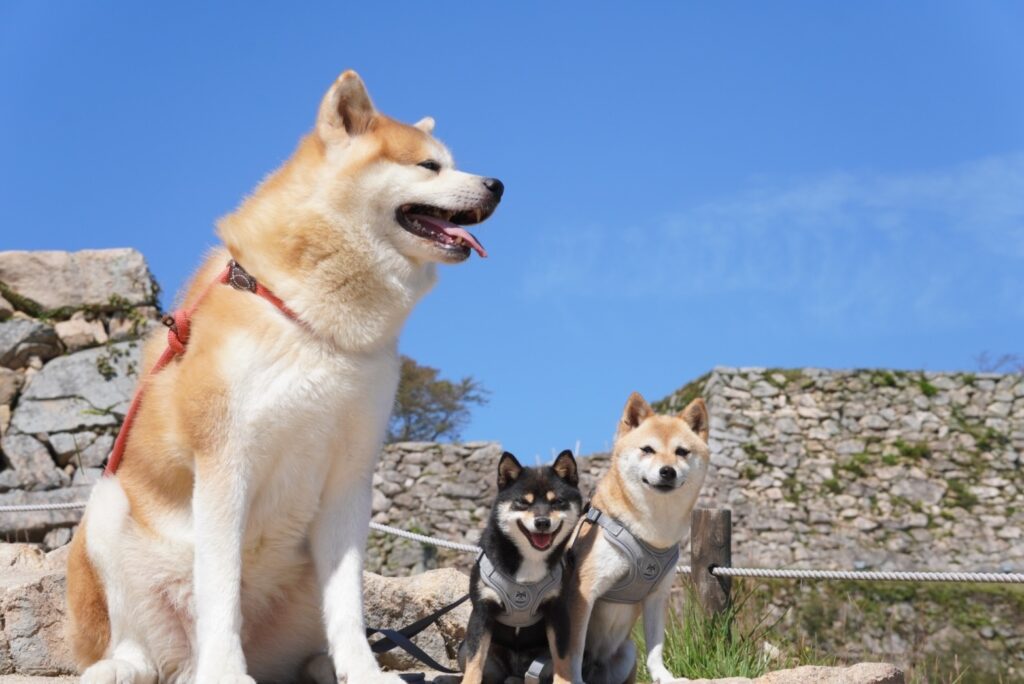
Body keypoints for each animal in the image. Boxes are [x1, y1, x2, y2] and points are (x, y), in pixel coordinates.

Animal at [64, 69, 503, 684]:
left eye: (450, 163)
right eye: (429, 166)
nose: (497, 185)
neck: (317, 324)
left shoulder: (350, 478)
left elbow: (348, 605)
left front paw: (363, 671)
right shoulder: (225, 460)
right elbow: (220, 587)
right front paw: (227, 673)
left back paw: (327, 666)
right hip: (108, 509)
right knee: (138, 649)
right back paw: (129, 668)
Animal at [548, 393, 708, 684]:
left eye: (681, 452)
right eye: (648, 449)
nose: (668, 471)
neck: (652, 532)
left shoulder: (657, 596)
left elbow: (656, 648)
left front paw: (664, 677)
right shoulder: (583, 592)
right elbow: (573, 650)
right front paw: (572, 680)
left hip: (626, 654)